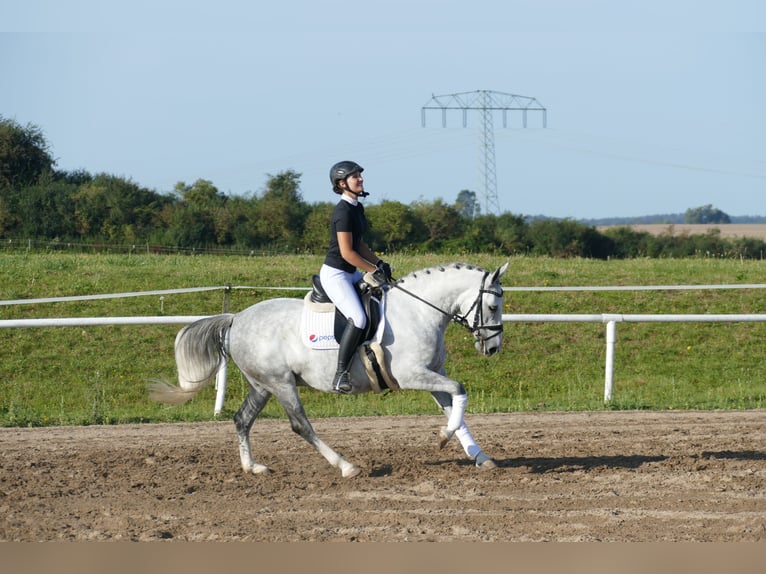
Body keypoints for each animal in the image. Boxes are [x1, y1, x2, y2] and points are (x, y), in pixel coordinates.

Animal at [150, 264, 510, 480]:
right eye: (493, 306)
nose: (493, 348)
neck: (418, 311)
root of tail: (236, 318)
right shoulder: (413, 375)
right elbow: (459, 389)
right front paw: (443, 437)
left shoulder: (433, 373)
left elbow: (456, 407)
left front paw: (480, 456)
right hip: (281, 384)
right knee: (300, 425)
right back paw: (346, 466)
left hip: (263, 385)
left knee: (242, 419)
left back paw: (253, 467)